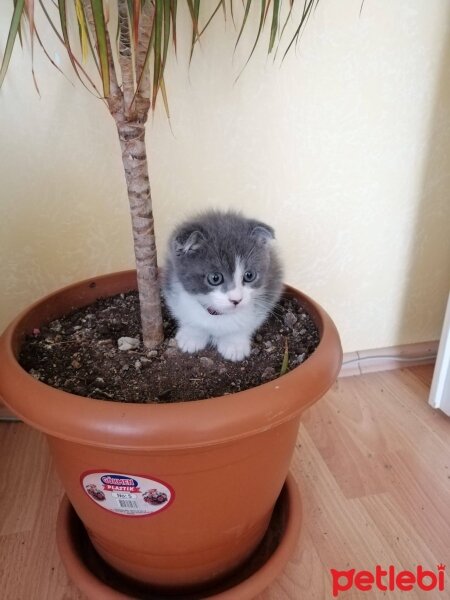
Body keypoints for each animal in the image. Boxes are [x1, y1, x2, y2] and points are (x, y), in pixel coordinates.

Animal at [162, 211, 284, 360]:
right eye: (215, 278)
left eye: (249, 275)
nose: (236, 300)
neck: (218, 314)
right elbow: (189, 318)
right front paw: (192, 336)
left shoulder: (270, 290)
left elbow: (246, 324)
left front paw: (234, 344)